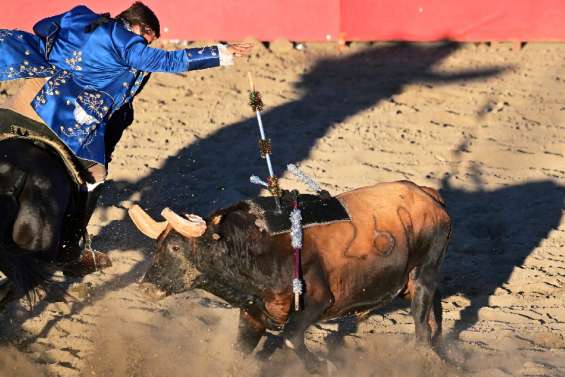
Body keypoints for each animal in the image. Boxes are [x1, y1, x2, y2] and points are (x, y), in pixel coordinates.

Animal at [128, 181, 450, 372]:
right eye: (156, 246)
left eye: (175, 246)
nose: (145, 289)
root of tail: (430, 196)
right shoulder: (253, 314)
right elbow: (240, 349)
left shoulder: (317, 301)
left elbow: (292, 337)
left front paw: (321, 367)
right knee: (432, 316)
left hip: (423, 274)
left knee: (421, 324)